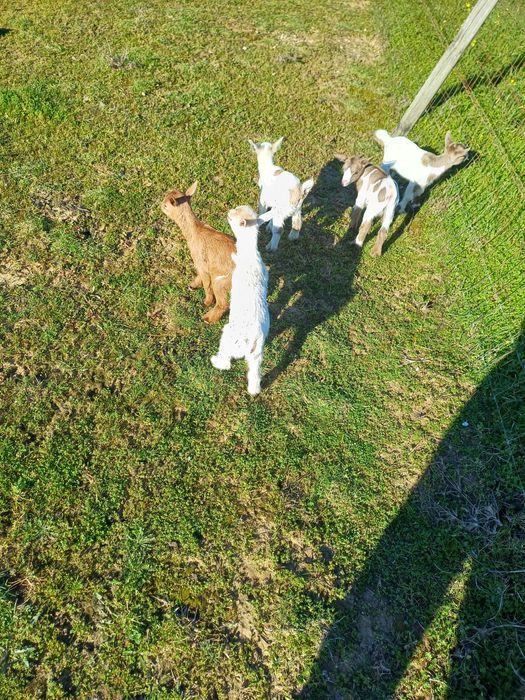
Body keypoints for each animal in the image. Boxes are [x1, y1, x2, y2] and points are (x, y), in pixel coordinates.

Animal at [161, 182, 235, 324]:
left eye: (166, 205)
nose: (160, 206)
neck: (195, 231)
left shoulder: (201, 263)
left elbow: (207, 285)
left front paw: (207, 302)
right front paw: (193, 285)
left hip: (221, 281)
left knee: (223, 302)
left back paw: (207, 318)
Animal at [211, 205, 269, 395]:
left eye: (232, 216)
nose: (229, 210)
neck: (250, 253)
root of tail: (253, 339)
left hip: (229, 337)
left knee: (226, 363)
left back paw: (216, 361)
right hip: (256, 355)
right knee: (255, 375)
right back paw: (253, 391)